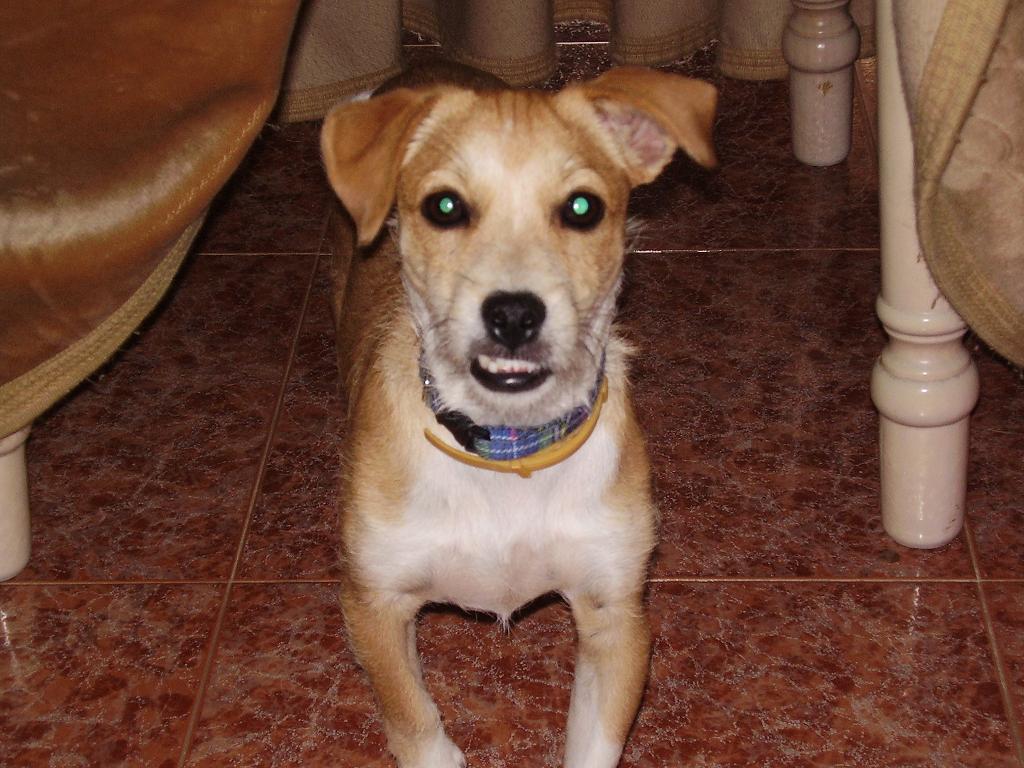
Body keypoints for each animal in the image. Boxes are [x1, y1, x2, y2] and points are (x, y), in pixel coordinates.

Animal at [321, 62, 717, 768]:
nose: (513, 314)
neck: (508, 449)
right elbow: (416, 725)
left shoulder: (614, 612)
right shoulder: (374, 604)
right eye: (444, 206)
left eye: (583, 207)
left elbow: (594, 745)